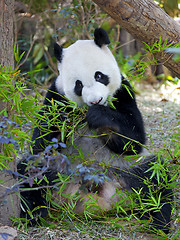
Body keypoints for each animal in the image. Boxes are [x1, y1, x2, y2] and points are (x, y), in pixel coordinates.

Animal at [18, 27, 173, 232]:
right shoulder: (55, 96)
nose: (96, 101)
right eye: (78, 84)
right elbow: (40, 142)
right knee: (31, 170)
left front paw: (98, 115)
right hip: (60, 170)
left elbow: (134, 139)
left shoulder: (123, 91)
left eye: (99, 76)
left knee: (155, 176)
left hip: (126, 167)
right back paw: (34, 214)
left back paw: (157, 222)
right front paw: (64, 121)